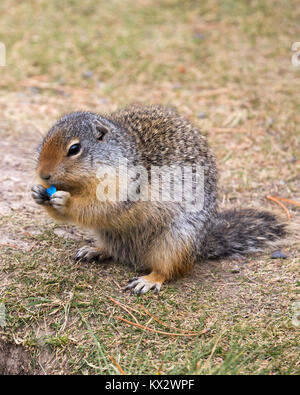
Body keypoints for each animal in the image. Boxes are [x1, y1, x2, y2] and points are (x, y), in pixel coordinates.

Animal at [31, 105, 286, 294]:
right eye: (44, 140)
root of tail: (202, 246)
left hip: (175, 241)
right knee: (113, 249)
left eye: (74, 148)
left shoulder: (123, 187)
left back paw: (148, 280)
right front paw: (38, 193)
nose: (43, 174)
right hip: (109, 234)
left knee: (169, 269)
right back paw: (94, 250)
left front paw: (64, 201)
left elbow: (101, 207)